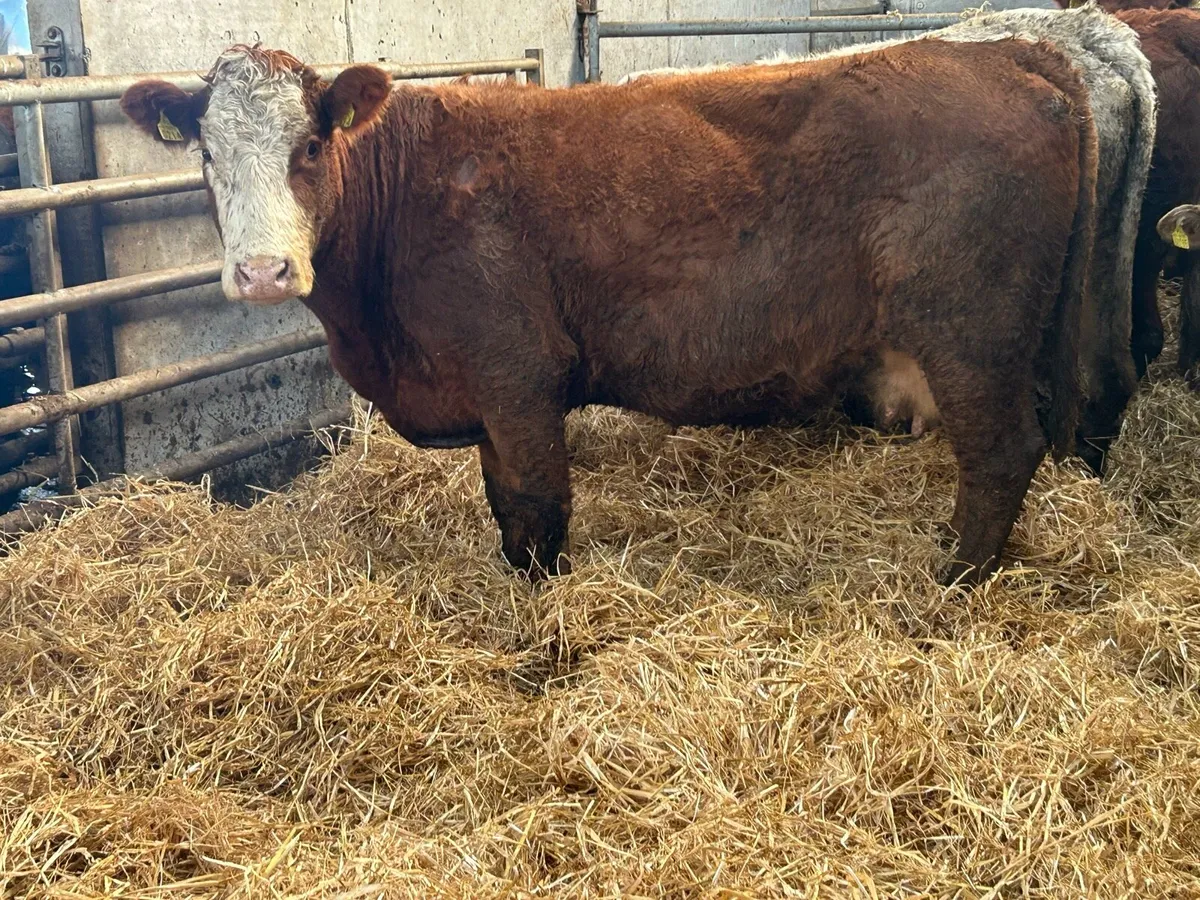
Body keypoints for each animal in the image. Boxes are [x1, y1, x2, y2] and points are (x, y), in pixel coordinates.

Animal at [118, 39, 1098, 586]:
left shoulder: (518, 374)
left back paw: (951, 583)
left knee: (1002, 453)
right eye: (205, 152)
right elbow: (505, 509)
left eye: (312, 146)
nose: (262, 271)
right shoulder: (488, 399)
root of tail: (1002, 52)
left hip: (972, 333)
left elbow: (537, 507)